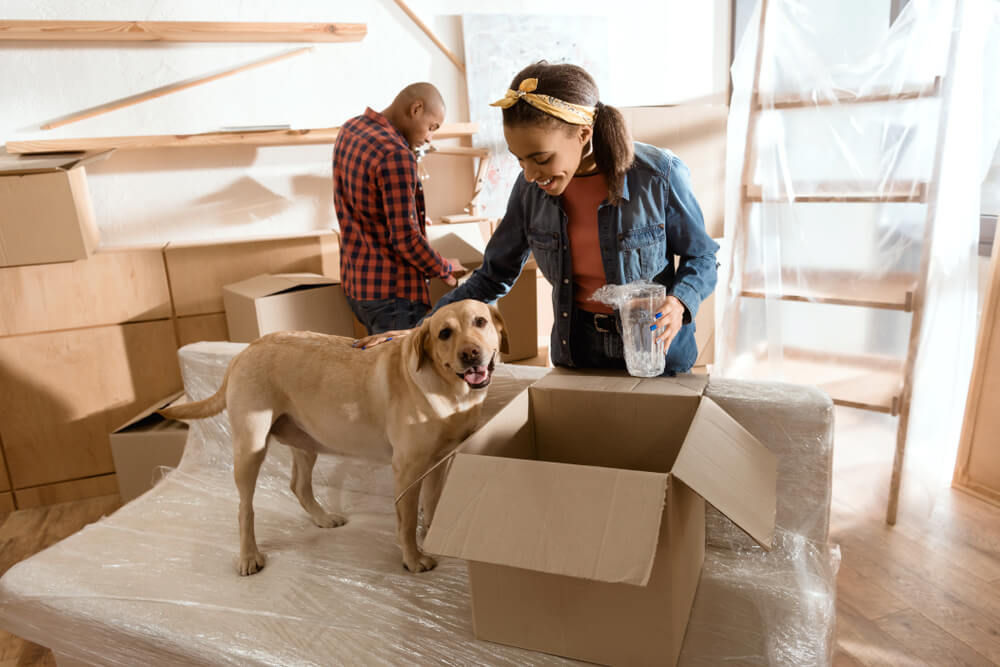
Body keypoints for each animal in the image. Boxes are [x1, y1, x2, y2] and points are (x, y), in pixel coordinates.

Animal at [162, 300, 508, 576]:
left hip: (305, 442)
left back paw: (323, 518)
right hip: (250, 448)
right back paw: (249, 556)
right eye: (444, 333)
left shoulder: (440, 461)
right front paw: (413, 559)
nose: (470, 354)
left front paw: (434, 538)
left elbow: (434, 504)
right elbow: (407, 521)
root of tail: (244, 350)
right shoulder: (407, 469)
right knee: (244, 508)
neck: (450, 390)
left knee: (298, 486)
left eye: (480, 321)